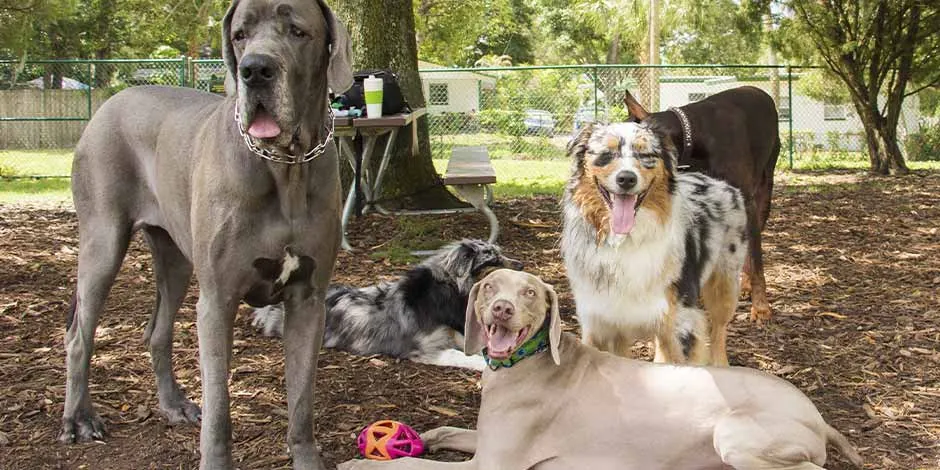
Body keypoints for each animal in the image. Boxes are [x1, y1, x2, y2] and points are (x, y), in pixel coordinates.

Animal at [59, 0, 352, 466]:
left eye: (297, 32)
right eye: (239, 35)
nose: (254, 70)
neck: (285, 167)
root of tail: (109, 103)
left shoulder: (308, 300)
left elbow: (301, 399)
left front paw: (307, 458)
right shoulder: (217, 300)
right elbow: (219, 405)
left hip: (175, 259)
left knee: (156, 332)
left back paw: (173, 405)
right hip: (102, 242)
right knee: (78, 335)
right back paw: (78, 419)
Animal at [253, 241, 524, 370]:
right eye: (493, 260)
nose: (522, 265)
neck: (447, 292)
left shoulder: (456, 335)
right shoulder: (425, 349)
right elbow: (464, 357)